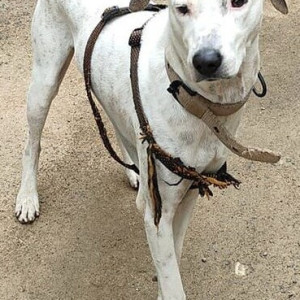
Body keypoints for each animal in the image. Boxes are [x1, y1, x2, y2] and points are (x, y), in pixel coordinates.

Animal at [16, 1, 288, 298]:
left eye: (238, 3)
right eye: (182, 8)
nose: (205, 61)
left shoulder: (192, 187)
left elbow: (173, 258)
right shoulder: (159, 214)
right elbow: (172, 283)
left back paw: (132, 171)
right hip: (44, 84)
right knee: (32, 145)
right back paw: (27, 198)